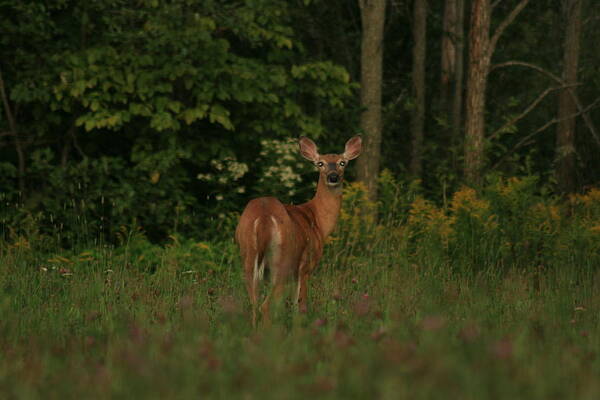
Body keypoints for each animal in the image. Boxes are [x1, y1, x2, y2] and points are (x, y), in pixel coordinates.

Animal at [237, 136, 364, 326]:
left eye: (343, 162)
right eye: (320, 163)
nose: (333, 177)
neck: (317, 220)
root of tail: (264, 217)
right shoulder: (305, 267)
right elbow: (300, 306)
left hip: (248, 257)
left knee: (254, 304)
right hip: (283, 261)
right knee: (266, 306)